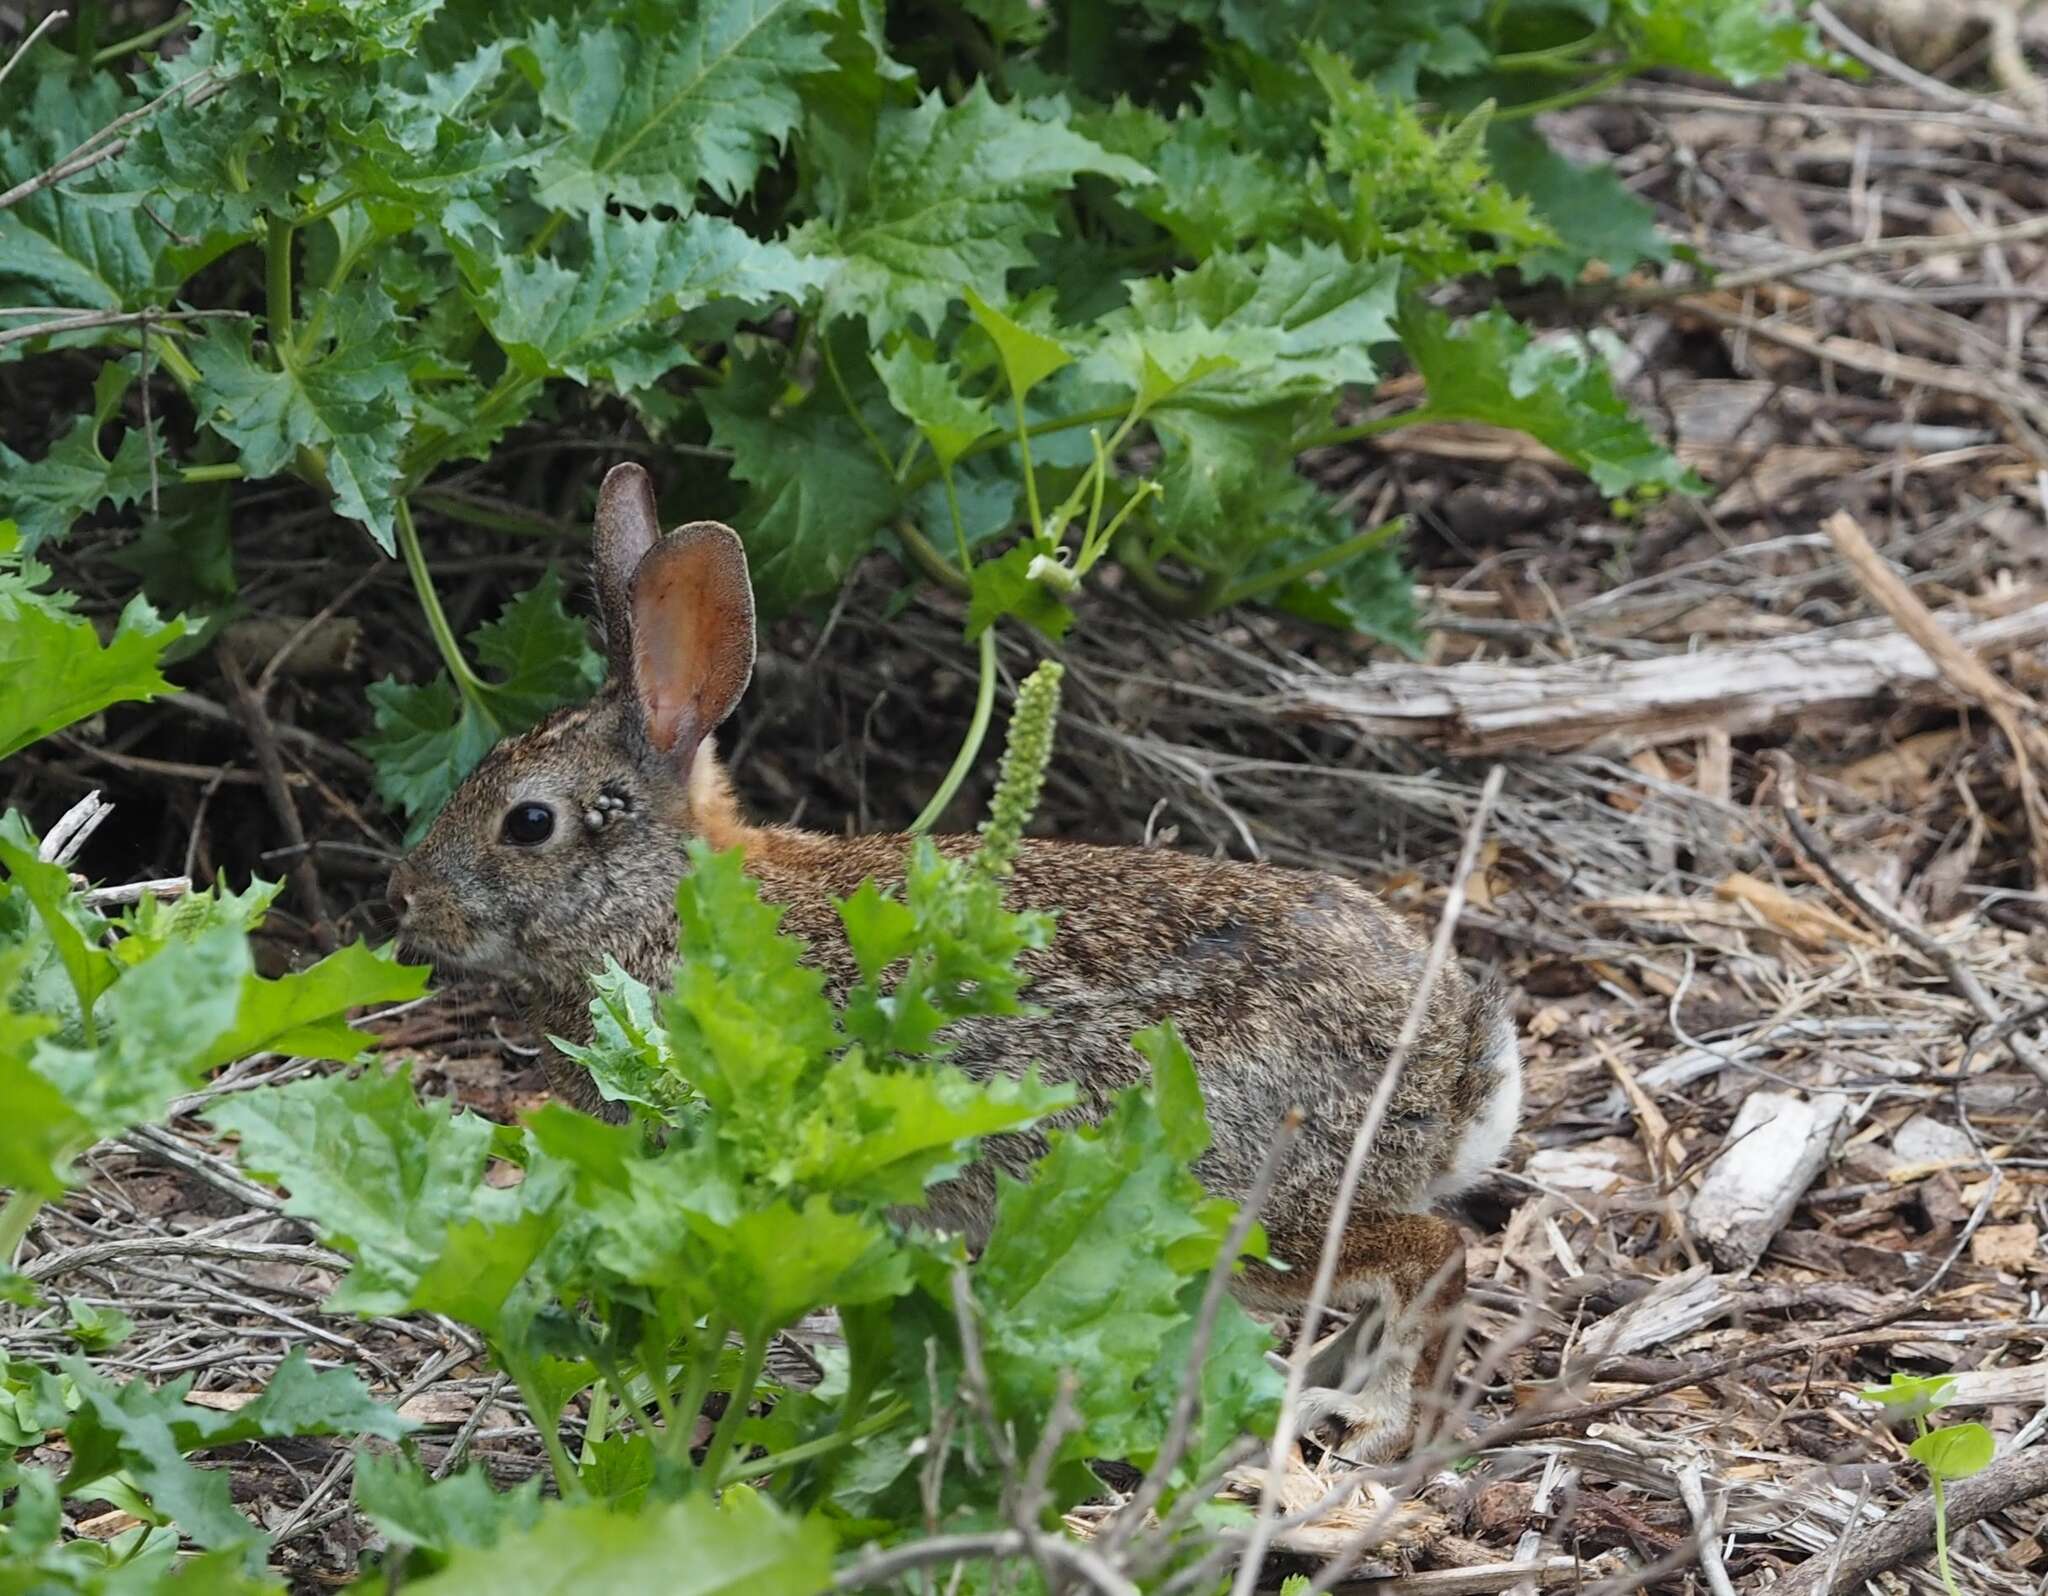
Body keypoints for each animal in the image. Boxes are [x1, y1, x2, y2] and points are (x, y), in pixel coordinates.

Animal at [387, 460, 1523, 1458]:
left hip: (1247, 1201)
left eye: (528, 824)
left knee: (1432, 1254)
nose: (405, 898)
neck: (670, 898)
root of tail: (1456, 1061)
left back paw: (1376, 1428)